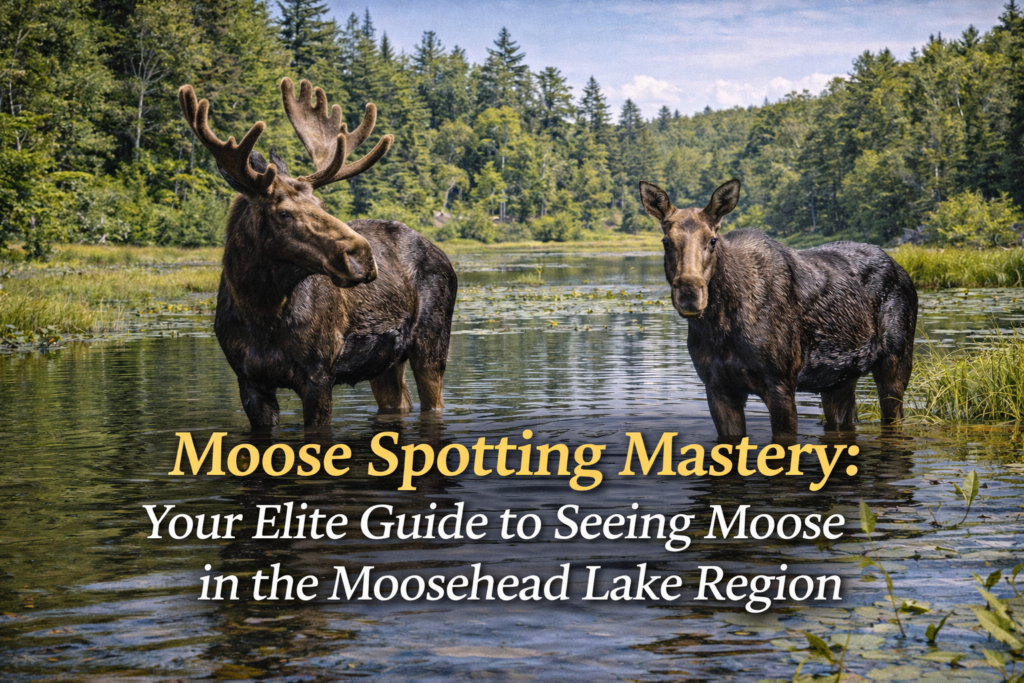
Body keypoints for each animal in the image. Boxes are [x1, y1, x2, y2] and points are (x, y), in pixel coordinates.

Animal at [178, 78, 457, 430]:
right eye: (283, 213)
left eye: (321, 204)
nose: (362, 255)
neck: (262, 312)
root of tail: (440, 252)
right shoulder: (249, 380)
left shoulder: (319, 374)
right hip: (384, 361)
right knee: (399, 401)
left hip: (432, 342)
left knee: (433, 401)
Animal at [639, 179, 918, 442]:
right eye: (666, 241)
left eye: (713, 240)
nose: (689, 293)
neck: (720, 323)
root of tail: (902, 271)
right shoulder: (717, 387)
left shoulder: (781, 383)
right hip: (840, 379)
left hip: (896, 363)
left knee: (896, 417)